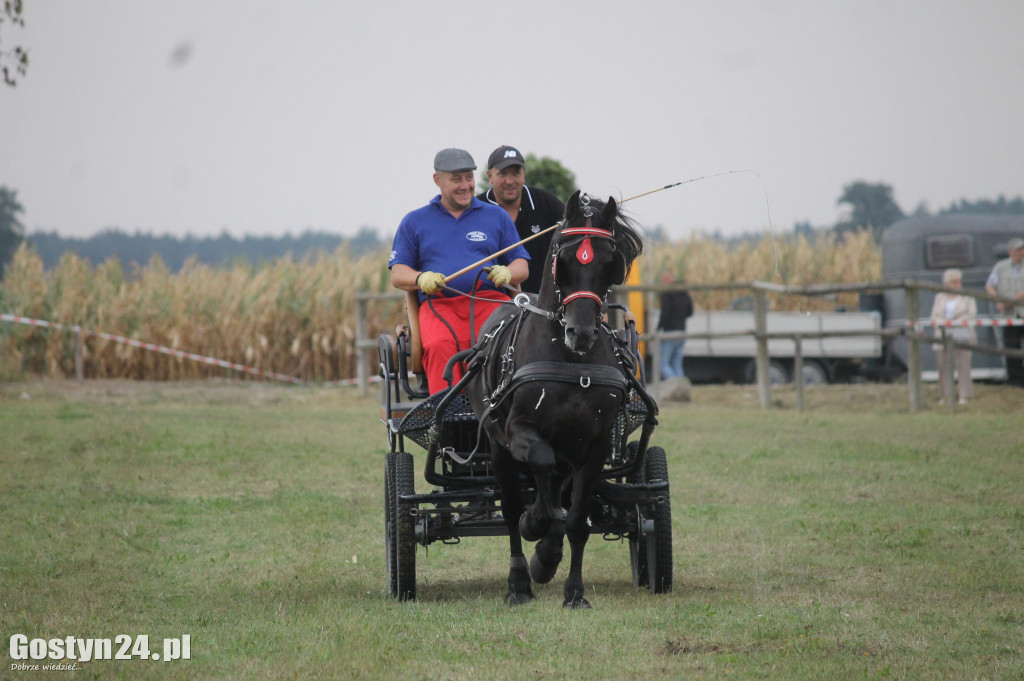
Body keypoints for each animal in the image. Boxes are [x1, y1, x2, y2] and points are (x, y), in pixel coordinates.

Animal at [466, 188, 643, 606]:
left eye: (610, 261)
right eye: (564, 259)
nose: (581, 332)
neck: (571, 361)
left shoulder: (595, 445)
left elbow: (576, 520)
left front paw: (573, 590)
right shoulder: (519, 431)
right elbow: (540, 476)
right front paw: (535, 525)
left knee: (558, 491)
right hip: (498, 446)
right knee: (512, 507)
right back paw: (519, 580)